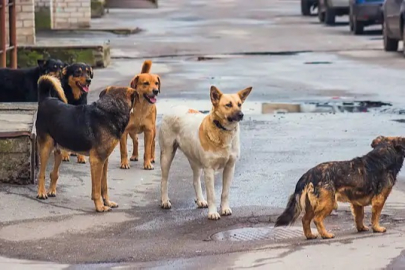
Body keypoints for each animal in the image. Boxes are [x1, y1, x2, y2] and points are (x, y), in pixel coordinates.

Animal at [35, 75, 136, 212]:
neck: (109, 110)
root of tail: (46, 99)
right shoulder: (97, 161)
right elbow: (97, 189)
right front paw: (100, 206)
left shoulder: (104, 160)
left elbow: (104, 186)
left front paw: (107, 202)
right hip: (46, 147)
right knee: (41, 174)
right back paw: (41, 193)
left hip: (59, 150)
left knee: (53, 173)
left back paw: (51, 190)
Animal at [159, 86, 251, 219]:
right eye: (228, 105)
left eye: (239, 104)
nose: (241, 114)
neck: (222, 131)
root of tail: (174, 107)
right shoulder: (209, 170)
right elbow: (212, 195)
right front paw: (213, 213)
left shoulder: (230, 167)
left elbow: (225, 192)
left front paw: (225, 208)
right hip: (167, 155)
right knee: (164, 180)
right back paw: (165, 201)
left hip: (195, 160)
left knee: (195, 181)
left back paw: (200, 200)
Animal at [274, 136, 404, 239]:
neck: (383, 156)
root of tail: (309, 174)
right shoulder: (379, 199)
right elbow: (375, 217)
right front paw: (377, 228)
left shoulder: (356, 203)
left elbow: (359, 217)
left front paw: (361, 228)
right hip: (328, 203)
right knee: (317, 219)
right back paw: (326, 235)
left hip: (311, 205)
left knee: (305, 220)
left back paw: (310, 235)